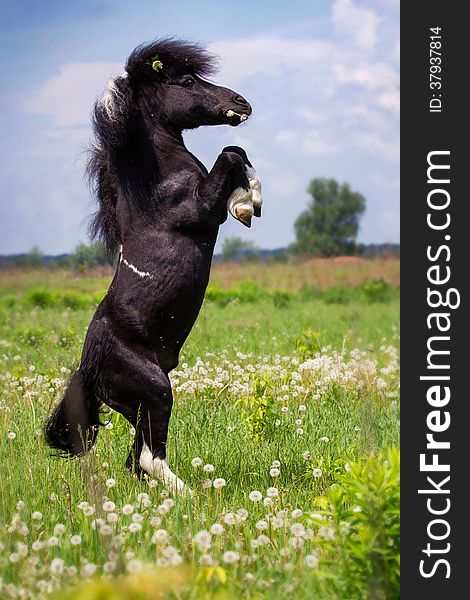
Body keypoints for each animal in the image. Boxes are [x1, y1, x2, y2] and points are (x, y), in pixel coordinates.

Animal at [44, 39, 260, 494]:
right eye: (187, 81)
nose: (242, 103)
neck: (156, 178)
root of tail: (90, 366)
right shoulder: (200, 209)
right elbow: (229, 155)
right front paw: (247, 205)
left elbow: (238, 152)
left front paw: (250, 199)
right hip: (156, 390)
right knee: (148, 456)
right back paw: (191, 495)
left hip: (138, 402)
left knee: (136, 457)